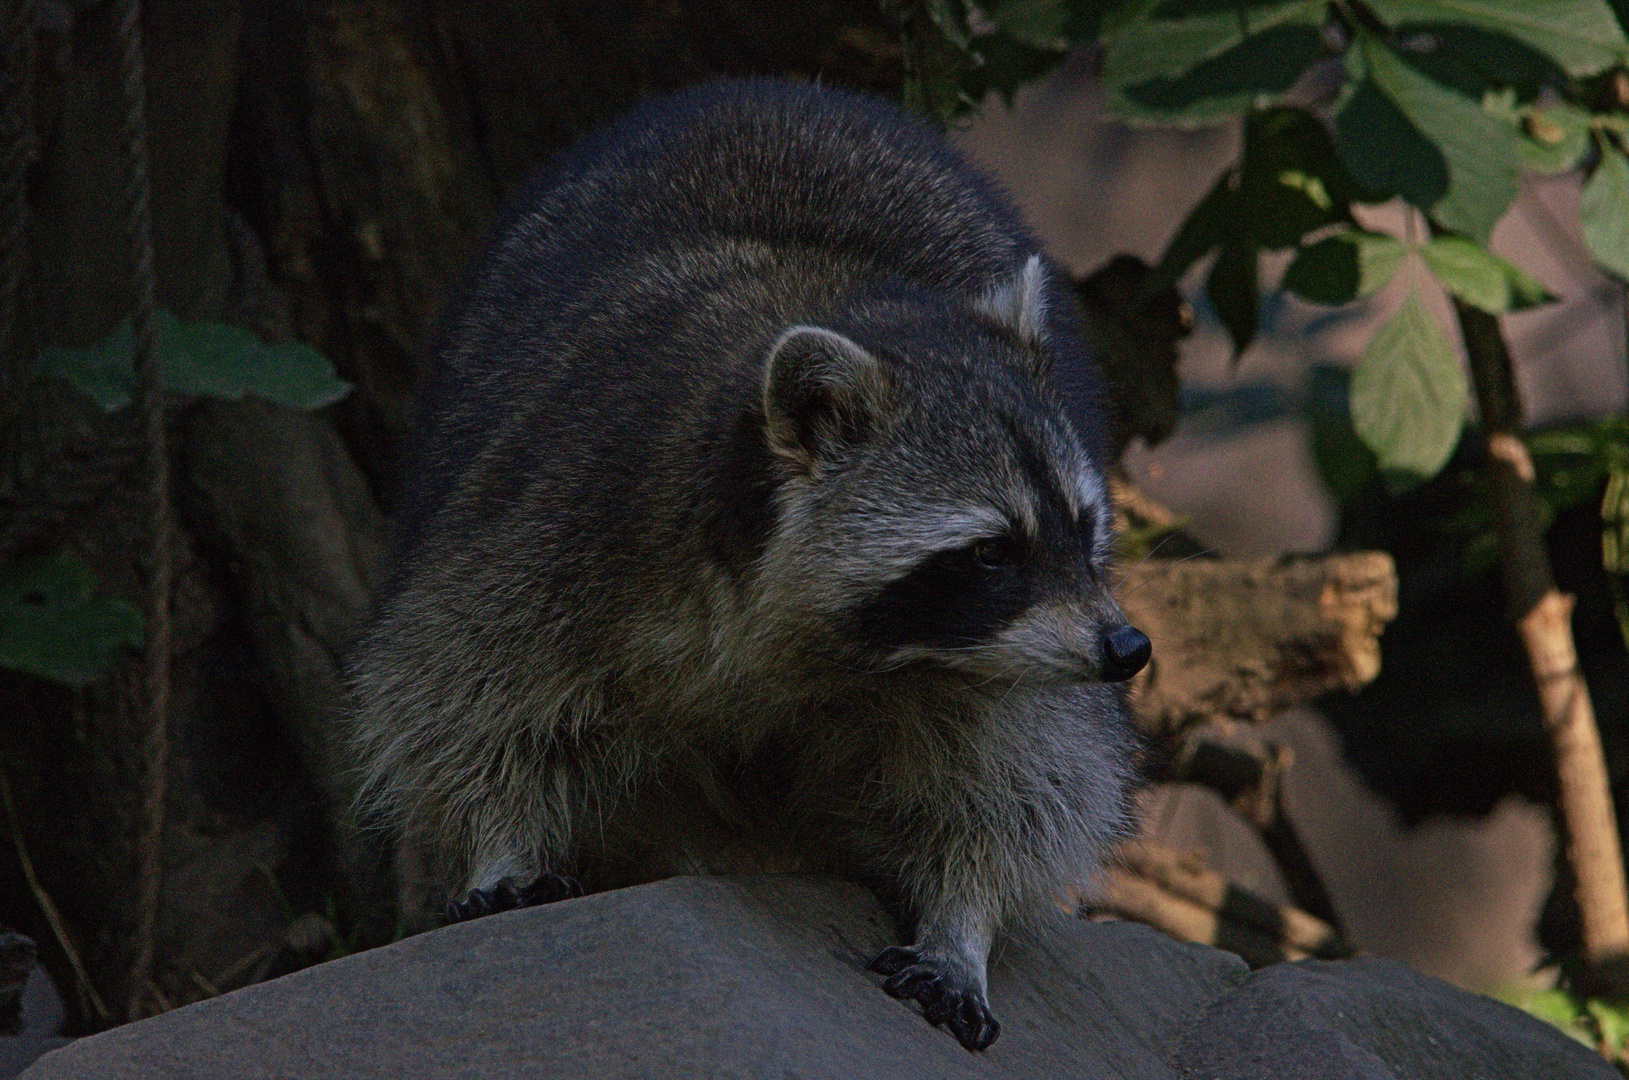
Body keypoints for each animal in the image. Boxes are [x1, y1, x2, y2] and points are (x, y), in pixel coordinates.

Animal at [350, 78, 1153, 1055]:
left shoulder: (1003, 661)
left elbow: (1026, 781)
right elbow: (471, 692)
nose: (1126, 651)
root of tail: (774, 90)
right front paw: (503, 840)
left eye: (1081, 525)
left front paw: (961, 921)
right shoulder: (564, 511)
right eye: (994, 549)